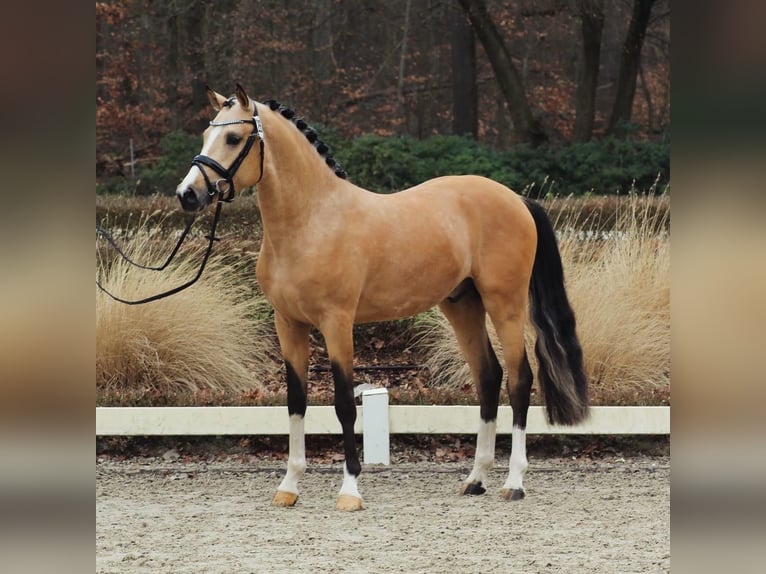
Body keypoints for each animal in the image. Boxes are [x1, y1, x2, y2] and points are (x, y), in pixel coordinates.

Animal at [178, 83, 588, 510]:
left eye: (233, 137)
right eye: (205, 135)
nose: (187, 195)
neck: (312, 221)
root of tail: (517, 200)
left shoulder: (337, 323)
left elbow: (344, 403)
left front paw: (349, 490)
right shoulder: (288, 324)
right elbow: (296, 401)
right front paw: (288, 486)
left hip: (505, 303)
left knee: (520, 380)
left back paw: (514, 482)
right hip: (462, 305)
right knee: (488, 376)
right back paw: (475, 479)